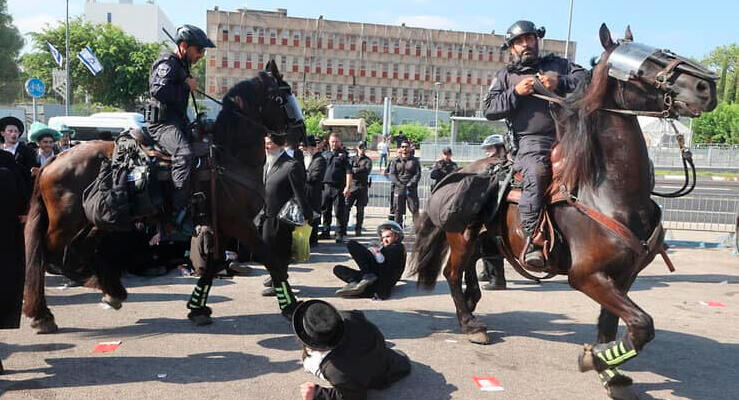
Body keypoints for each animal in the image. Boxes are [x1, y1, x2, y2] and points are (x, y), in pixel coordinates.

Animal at [410, 25, 716, 396]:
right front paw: (594, 360)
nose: (706, 87)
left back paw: (472, 303)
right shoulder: (586, 275)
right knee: (452, 274)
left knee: (468, 270)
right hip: (462, 238)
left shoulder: (623, 276)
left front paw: (610, 370)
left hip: (486, 242)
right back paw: (471, 324)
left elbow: (612, 327)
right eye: (643, 63)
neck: (607, 192)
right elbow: (642, 324)